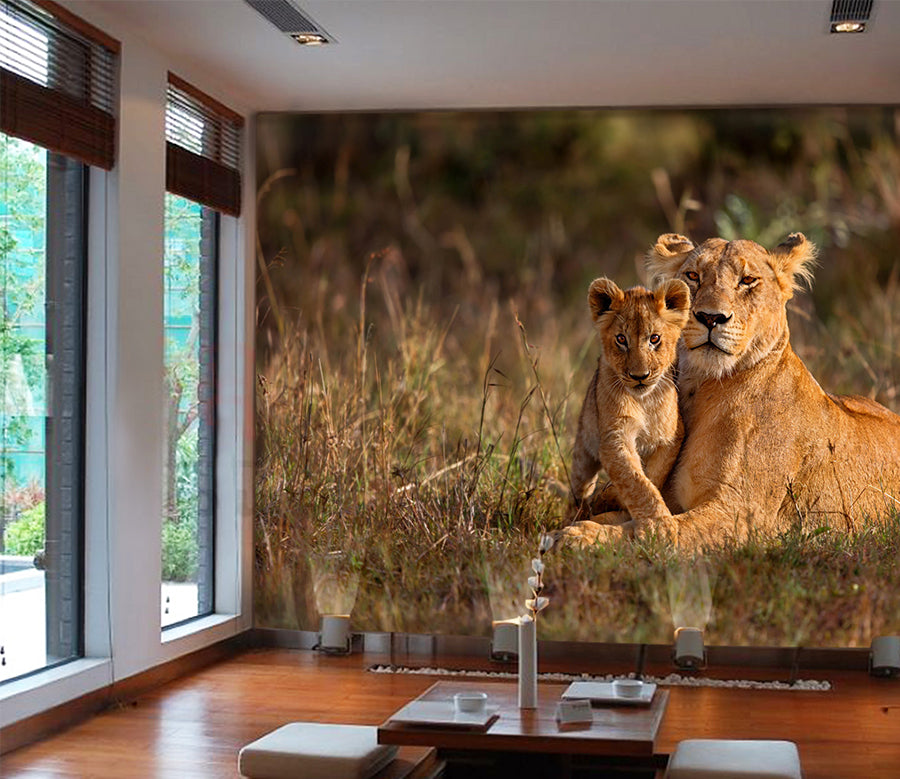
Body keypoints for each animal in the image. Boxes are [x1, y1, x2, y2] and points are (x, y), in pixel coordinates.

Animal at [567, 277, 690, 534]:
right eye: (621, 339)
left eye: (654, 338)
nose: (639, 376)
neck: (644, 401)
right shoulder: (614, 437)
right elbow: (635, 481)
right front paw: (659, 526)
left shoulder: (671, 437)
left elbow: (652, 477)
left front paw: (611, 497)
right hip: (584, 450)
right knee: (578, 491)